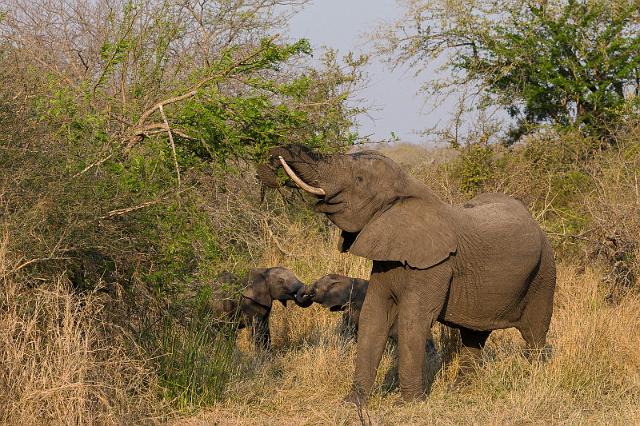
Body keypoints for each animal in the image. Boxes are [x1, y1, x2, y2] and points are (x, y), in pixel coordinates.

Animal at [255, 145, 556, 402]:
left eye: (359, 179)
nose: (275, 156)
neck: (410, 190)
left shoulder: (435, 265)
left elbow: (414, 319)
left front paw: (409, 403)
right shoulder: (385, 259)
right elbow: (374, 316)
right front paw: (353, 402)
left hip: (544, 273)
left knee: (535, 333)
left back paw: (534, 380)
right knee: (474, 336)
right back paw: (461, 390)